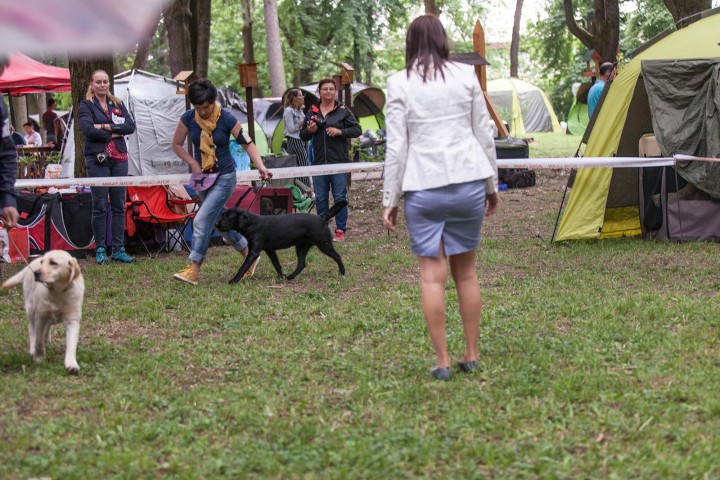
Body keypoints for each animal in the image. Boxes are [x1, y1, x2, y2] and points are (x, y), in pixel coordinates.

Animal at [216, 200, 347, 283]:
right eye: (222, 215)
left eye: (228, 217)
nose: (216, 223)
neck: (251, 223)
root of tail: (321, 217)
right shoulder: (270, 250)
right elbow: (276, 264)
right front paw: (282, 276)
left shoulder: (254, 252)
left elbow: (243, 267)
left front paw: (233, 280)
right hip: (301, 247)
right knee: (302, 264)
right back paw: (291, 276)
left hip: (324, 244)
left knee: (338, 256)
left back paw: (342, 272)